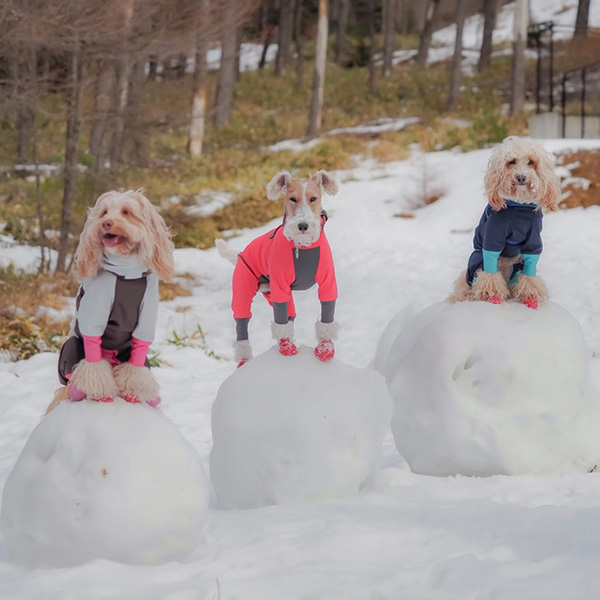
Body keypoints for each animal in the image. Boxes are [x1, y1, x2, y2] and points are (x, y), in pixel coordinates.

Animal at [46, 190, 173, 414]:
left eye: (126, 212)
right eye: (104, 212)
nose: (106, 223)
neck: (127, 273)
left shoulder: (147, 315)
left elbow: (139, 355)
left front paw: (133, 393)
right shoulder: (94, 312)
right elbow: (93, 360)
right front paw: (102, 394)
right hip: (71, 347)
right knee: (74, 375)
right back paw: (77, 390)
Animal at [452, 137, 560, 310]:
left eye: (531, 162)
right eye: (511, 162)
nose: (521, 177)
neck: (519, 207)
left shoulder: (534, 241)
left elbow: (530, 272)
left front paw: (531, 296)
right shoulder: (493, 238)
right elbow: (490, 273)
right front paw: (493, 295)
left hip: (517, 264)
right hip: (477, 260)